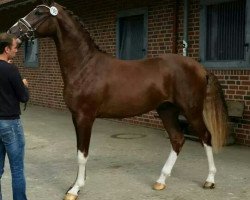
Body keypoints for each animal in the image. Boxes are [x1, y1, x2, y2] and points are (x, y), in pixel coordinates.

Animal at [7, 1, 228, 200]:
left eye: (38, 12)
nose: (11, 31)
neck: (85, 66)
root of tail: (200, 68)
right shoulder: (76, 117)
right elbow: (80, 151)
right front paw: (75, 184)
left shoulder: (84, 117)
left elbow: (82, 154)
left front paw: (75, 189)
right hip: (167, 110)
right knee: (177, 139)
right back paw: (161, 181)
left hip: (191, 110)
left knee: (206, 138)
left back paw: (209, 180)